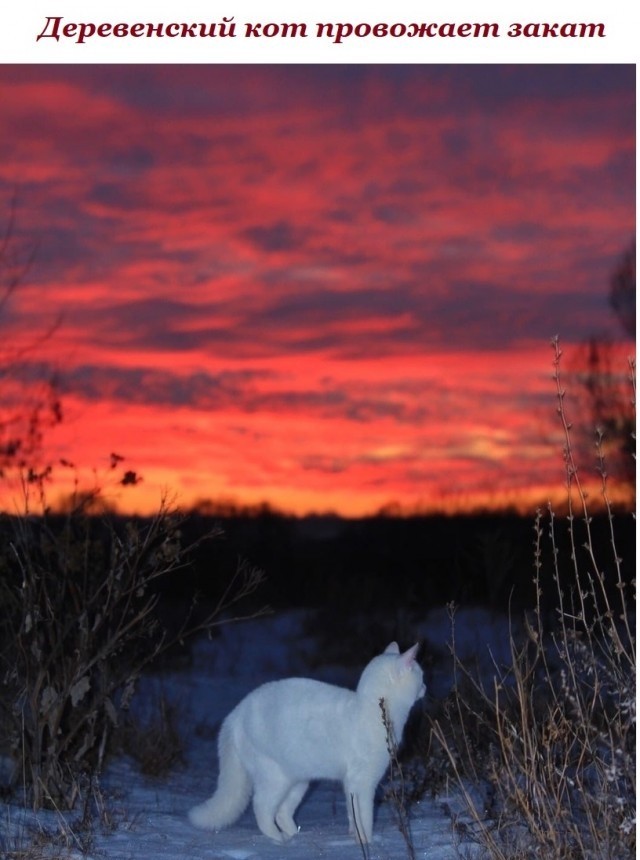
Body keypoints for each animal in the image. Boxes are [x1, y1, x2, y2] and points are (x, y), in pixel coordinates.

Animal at [188, 640, 424, 844]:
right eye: (421, 676)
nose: (425, 687)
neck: (371, 709)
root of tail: (235, 714)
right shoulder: (362, 783)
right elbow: (363, 816)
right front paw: (367, 842)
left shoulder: (350, 783)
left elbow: (351, 815)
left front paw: (354, 838)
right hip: (275, 778)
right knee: (261, 809)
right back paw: (278, 839)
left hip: (299, 781)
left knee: (282, 813)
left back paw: (296, 837)